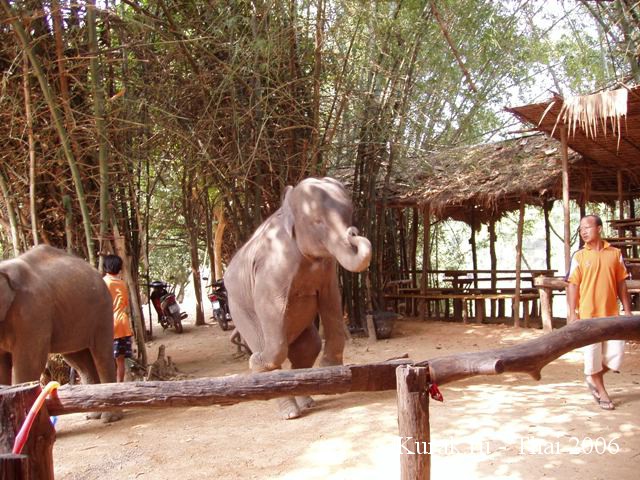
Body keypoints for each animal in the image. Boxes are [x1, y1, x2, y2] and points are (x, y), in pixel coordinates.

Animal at [224, 177, 372, 419]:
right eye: (318, 221)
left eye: (350, 214)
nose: (353, 232)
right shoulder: (272, 267)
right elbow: (271, 309)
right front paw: (257, 362)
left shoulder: (327, 268)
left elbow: (332, 300)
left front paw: (329, 369)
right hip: (238, 309)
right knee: (265, 341)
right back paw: (289, 411)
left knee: (308, 347)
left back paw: (307, 403)